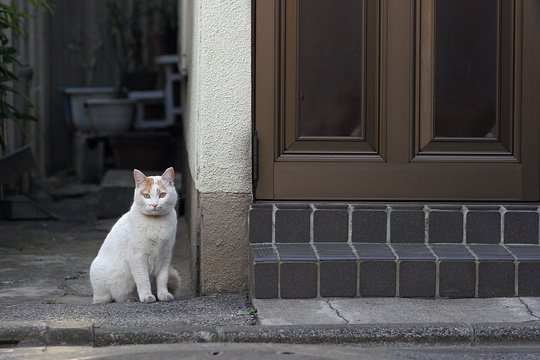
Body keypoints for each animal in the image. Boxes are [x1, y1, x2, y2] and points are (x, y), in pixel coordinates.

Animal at [89, 167, 180, 302]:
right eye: (146, 195)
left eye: (162, 195)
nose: (154, 205)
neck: (156, 223)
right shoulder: (137, 257)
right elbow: (143, 280)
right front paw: (147, 296)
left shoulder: (165, 256)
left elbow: (162, 279)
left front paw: (163, 294)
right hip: (102, 284)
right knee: (108, 297)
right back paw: (128, 298)